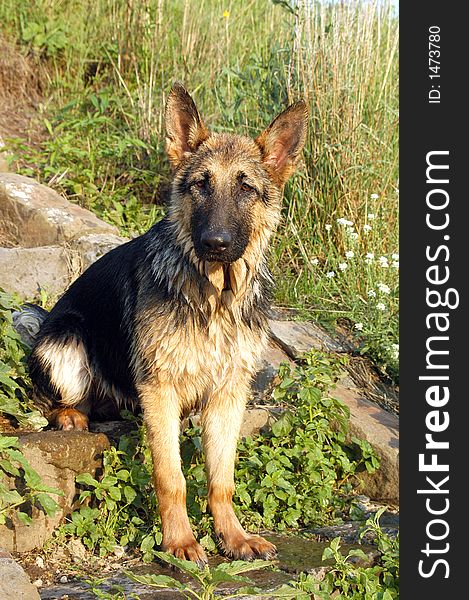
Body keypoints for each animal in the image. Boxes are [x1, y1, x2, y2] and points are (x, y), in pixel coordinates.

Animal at [24, 83, 308, 564]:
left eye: (246, 188)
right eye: (200, 185)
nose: (216, 243)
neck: (214, 298)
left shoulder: (228, 396)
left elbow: (222, 479)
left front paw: (233, 536)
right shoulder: (161, 391)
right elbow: (171, 477)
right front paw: (179, 541)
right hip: (65, 340)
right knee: (56, 398)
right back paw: (71, 416)